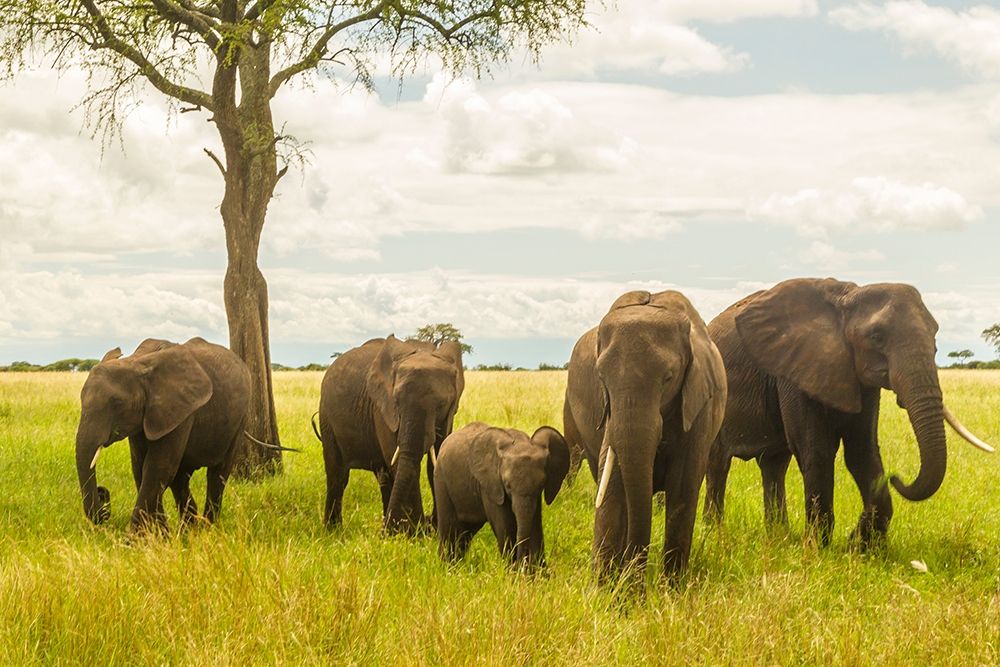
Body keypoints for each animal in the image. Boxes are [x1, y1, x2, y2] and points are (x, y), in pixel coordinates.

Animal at [75, 340, 252, 532]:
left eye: (118, 403)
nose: (102, 493)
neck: (136, 362)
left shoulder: (181, 412)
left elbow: (157, 468)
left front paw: (135, 537)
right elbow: (141, 468)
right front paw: (159, 535)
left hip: (240, 421)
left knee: (217, 475)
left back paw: (207, 529)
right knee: (180, 479)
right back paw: (189, 530)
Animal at [316, 336, 464, 536]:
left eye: (441, 404)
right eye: (397, 401)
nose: (426, 523)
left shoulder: (448, 416)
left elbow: (435, 461)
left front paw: (431, 530)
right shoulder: (382, 409)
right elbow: (400, 460)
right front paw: (416, 534)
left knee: (383, 477)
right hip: (327, 417)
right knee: (337, 475)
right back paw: (334, 532)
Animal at [436, 422, 572, 568]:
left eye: (542, 484)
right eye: (507, 485)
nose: (522, 563)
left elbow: (535, 524)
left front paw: (539, 572)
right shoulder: (491, 484)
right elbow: (505, 526)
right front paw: (512, 571)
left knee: (465, 533)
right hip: (441, 479)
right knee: (449, 529)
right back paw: (447, 567)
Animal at [564, 290, 728, 580]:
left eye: (669, 378)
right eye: (601, 378)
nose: (633, 580)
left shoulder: (699, 406)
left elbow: (682, 488)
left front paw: (671, 587)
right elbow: (613, 487)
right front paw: (606, 588)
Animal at [704, 282, 992, 548]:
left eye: (935, 332)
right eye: (876, 336)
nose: (897, 477)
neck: (846, 296)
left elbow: (862, 451)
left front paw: (860, 545)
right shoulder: (793, 370)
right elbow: (816, 450)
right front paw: (818, 549)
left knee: (774, 465)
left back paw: (779, 538)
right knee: (718, 463)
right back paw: (714, 535)